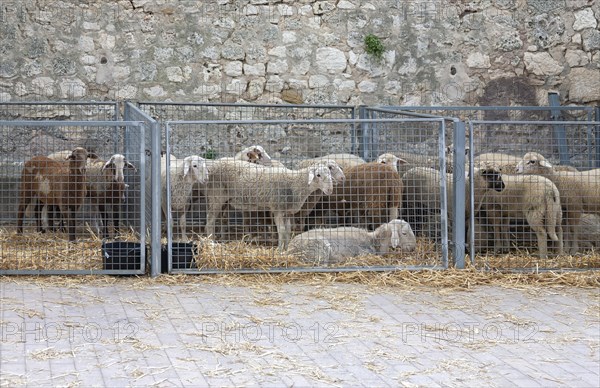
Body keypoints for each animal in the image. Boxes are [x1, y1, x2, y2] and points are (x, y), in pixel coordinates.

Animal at [203, 161, 332, 249]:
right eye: (318, 175)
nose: (330, 190)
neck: (295, 183)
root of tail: (212, 167)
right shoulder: (277, 209)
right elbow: (281, 231)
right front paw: (280, 250)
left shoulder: (287, 212)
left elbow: (288, 231)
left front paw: (287, 248)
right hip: (216, 195)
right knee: (210, 221)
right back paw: (211, 242)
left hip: (225, 201)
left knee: (220, 219)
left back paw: (222, 239)